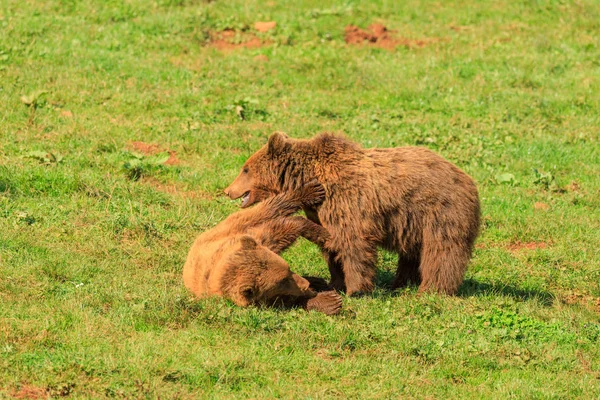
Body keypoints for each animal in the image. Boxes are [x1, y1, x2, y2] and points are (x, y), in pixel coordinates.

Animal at [182, 182, 342, 316]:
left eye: (288, 268)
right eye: (282, 281)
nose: (305, 284)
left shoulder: (258, 242)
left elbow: (280, 232)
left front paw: (321, 234)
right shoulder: (259, 299)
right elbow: (287, 301)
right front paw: (330, 301)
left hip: (235, 226)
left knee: (270, 209)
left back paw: (310, 191)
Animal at [223, 133, 480, 296]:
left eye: (245, 169)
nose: (228, 190)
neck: (309, 175)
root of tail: (469, 179)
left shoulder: (346, 202)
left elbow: (353, 244)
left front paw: (356, 289)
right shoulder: (322, 211)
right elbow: (332, 246)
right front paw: (336, 282)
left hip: (439, 211)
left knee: (442, 252)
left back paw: (432, 289)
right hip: (412, 223)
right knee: (412, 253)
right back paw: (400, 283)